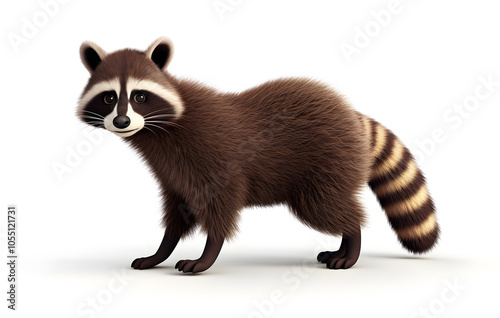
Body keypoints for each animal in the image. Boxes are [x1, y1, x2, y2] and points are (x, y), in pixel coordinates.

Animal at [76, 36, 440, 270]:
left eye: (139, 96)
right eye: (109, 97)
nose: (122, 121)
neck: (155, 132)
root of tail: (350, 114)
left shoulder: (213, 154)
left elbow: (221, 207)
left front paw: (207, 254)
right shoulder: (173, 172)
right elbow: (177, 214)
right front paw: (161, 250)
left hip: (326, 161)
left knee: (328, 207)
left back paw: (351, 242)